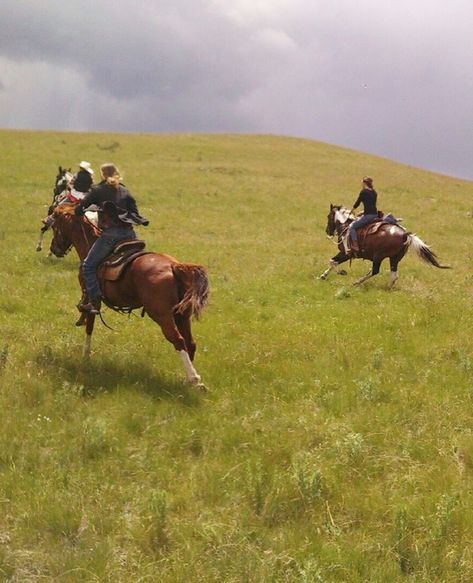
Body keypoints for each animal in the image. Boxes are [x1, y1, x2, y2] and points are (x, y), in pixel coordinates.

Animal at [48, 203, 209, 390]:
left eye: (55, 226)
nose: (54, 249)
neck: (90, 244)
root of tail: (174, 266)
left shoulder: (92, 300)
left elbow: (89, 326)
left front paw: (85, 356)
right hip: (182, 315)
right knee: (191, 343)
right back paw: (189, 380)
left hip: (162, 315)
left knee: (178, 341)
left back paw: (194, 380)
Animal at [318, 205, 448, 288]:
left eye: (328, 216)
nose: (328, 231)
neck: (346, 226)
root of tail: (405, 235)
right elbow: (333, 262)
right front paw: (324, 276)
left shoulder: (346, 253)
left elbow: (332, 262)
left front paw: (338, 273)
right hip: (394, 259)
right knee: (393, 275)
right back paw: (388, 288)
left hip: (378, 257)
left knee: (375, 271)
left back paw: (357, 282)